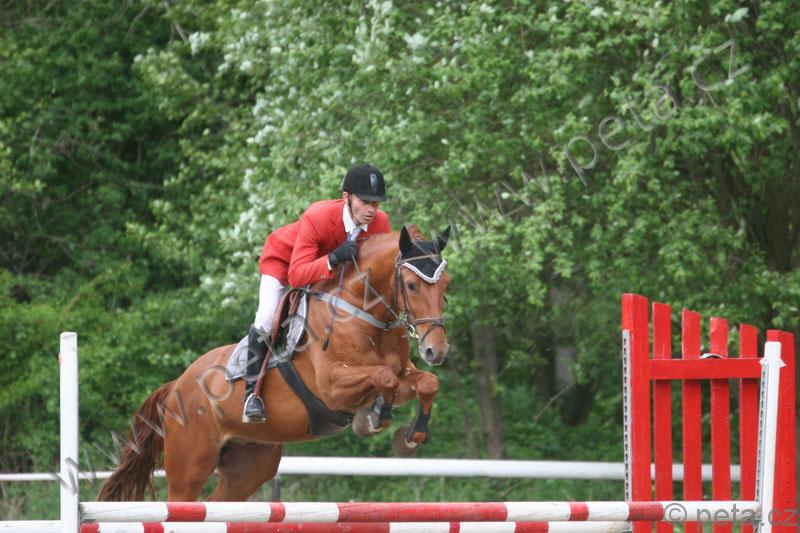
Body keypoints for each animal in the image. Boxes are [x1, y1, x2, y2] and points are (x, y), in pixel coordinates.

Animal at [97, 224, 450, 502]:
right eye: (411, 285)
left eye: (446, 286)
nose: (436, 350)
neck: (364, 314)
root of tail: (177, 387)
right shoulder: (333, 387)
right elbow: (384, 378)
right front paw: (376, 418)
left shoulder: (403, 374)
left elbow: (424, 382)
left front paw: (410, 436)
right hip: (189, 466)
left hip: (249, 464)